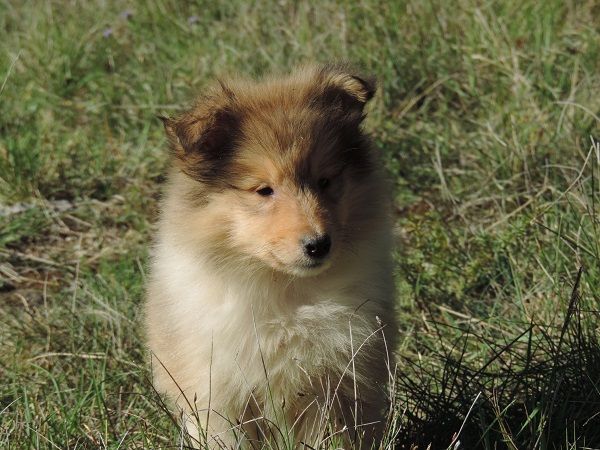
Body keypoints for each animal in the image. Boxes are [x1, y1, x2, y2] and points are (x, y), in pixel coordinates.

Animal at [144, 65, 398, 448]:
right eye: (264, 190)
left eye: (325, 180)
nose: (318, 244)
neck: (282, 291)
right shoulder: (218, 394)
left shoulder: (334, 386)